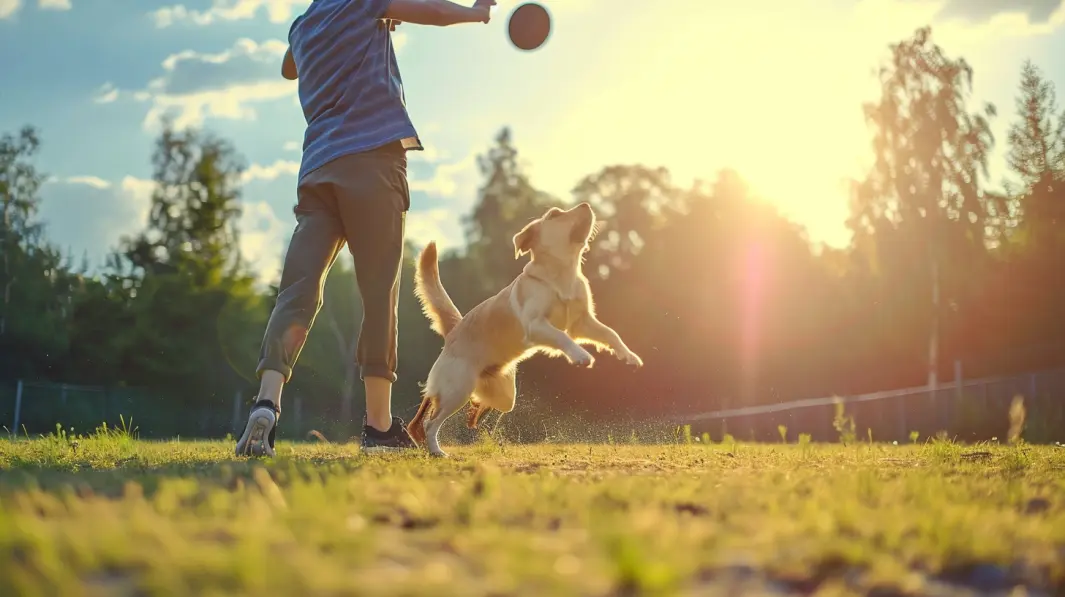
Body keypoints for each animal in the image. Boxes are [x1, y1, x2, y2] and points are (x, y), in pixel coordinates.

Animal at [404, 201, 639, 455]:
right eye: (555, 214)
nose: (586, 204)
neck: (562, 273)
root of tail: (454, 329)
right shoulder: (535, 323)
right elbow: (562, 337)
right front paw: (580, 355)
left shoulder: (582, 323)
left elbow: (611, 334)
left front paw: (628, 356)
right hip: (457, 388)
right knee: (431, 418)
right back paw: (435, 448)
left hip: (502, 395)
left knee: (469, 404)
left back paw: (473, 415)